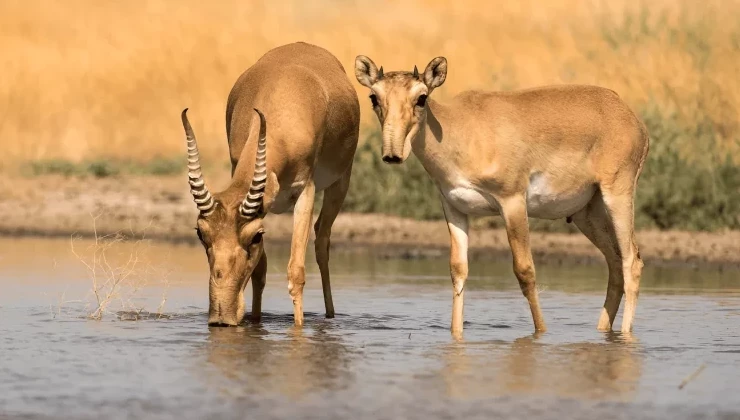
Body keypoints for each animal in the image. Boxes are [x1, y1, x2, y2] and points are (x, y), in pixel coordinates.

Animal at [184, 41, 360, 324]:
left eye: (255, 237)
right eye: (201, 233)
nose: (222, 317)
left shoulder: (306, 191)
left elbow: (296, 272)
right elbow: (260, 271)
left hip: (340, 183)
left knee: (322, 240)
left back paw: (330, 315)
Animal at [356, 55, 652, 334]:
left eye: (421, 97)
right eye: (374, 97)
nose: (392, 154)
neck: (461, 129)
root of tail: (630, 117)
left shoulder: (512, 203)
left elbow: (525, 270)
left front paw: (541, 332)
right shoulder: (454, 209)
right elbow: (458, 271)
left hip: (617, 196)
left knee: (632, 261)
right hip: (587, 214)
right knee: (615, 263)